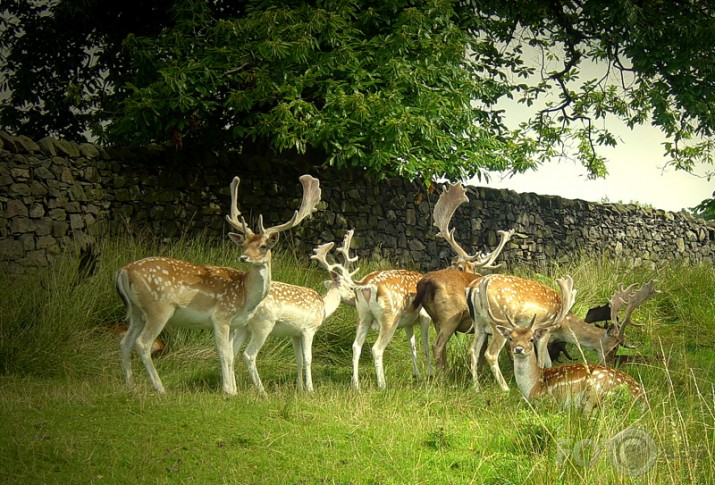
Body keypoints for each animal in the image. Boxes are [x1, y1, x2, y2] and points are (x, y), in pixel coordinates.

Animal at [115, 174, 322, 394]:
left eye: (263, 246)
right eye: (243, 244)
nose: (243, 257)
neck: (245, 295)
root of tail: (123, 271)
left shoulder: (233, 323)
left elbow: (230, 354)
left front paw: (234, 390)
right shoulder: (221, 316)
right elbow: (223, 353)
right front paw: (229, 391)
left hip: (137, 312)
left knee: (125, 343)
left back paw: (130, 386)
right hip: (158, 308)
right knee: (143, 343)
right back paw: (160, 389)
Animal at [232, 232, 358, 394]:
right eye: (351, 287)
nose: (355, 299)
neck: (323, 308)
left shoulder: (295, 333)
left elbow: (299, 359)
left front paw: (299, 388)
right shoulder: (308, 329)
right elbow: (308, 359)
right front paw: (310, 389)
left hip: (243, 327)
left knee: (231, 352)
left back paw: (232, 389)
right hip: (263, 324)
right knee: (248, 355)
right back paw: (262, 391)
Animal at [408, 183, 516, 372]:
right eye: (459, 266)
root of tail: (425, 283)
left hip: (437, 319)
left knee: (441, 348)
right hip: (450, 315)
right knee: (437, 346)